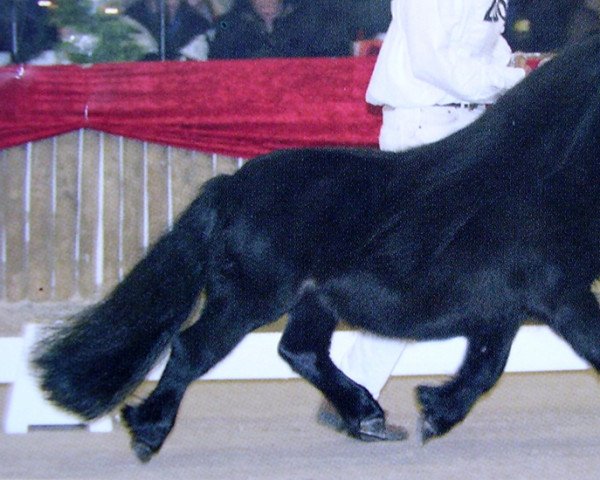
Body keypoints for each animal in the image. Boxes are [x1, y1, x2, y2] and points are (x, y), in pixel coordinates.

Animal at [34, 34, 600, 462]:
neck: (539, 177)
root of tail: (230, 188)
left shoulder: (503, 308)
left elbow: (484, 368)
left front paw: (435, 410)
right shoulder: (560, 297)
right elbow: (567, 354)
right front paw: (435, 412)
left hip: (313, 299)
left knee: (300, 350)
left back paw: (367, 417)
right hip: (251, 298)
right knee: (192, 348)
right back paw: (149, 432)